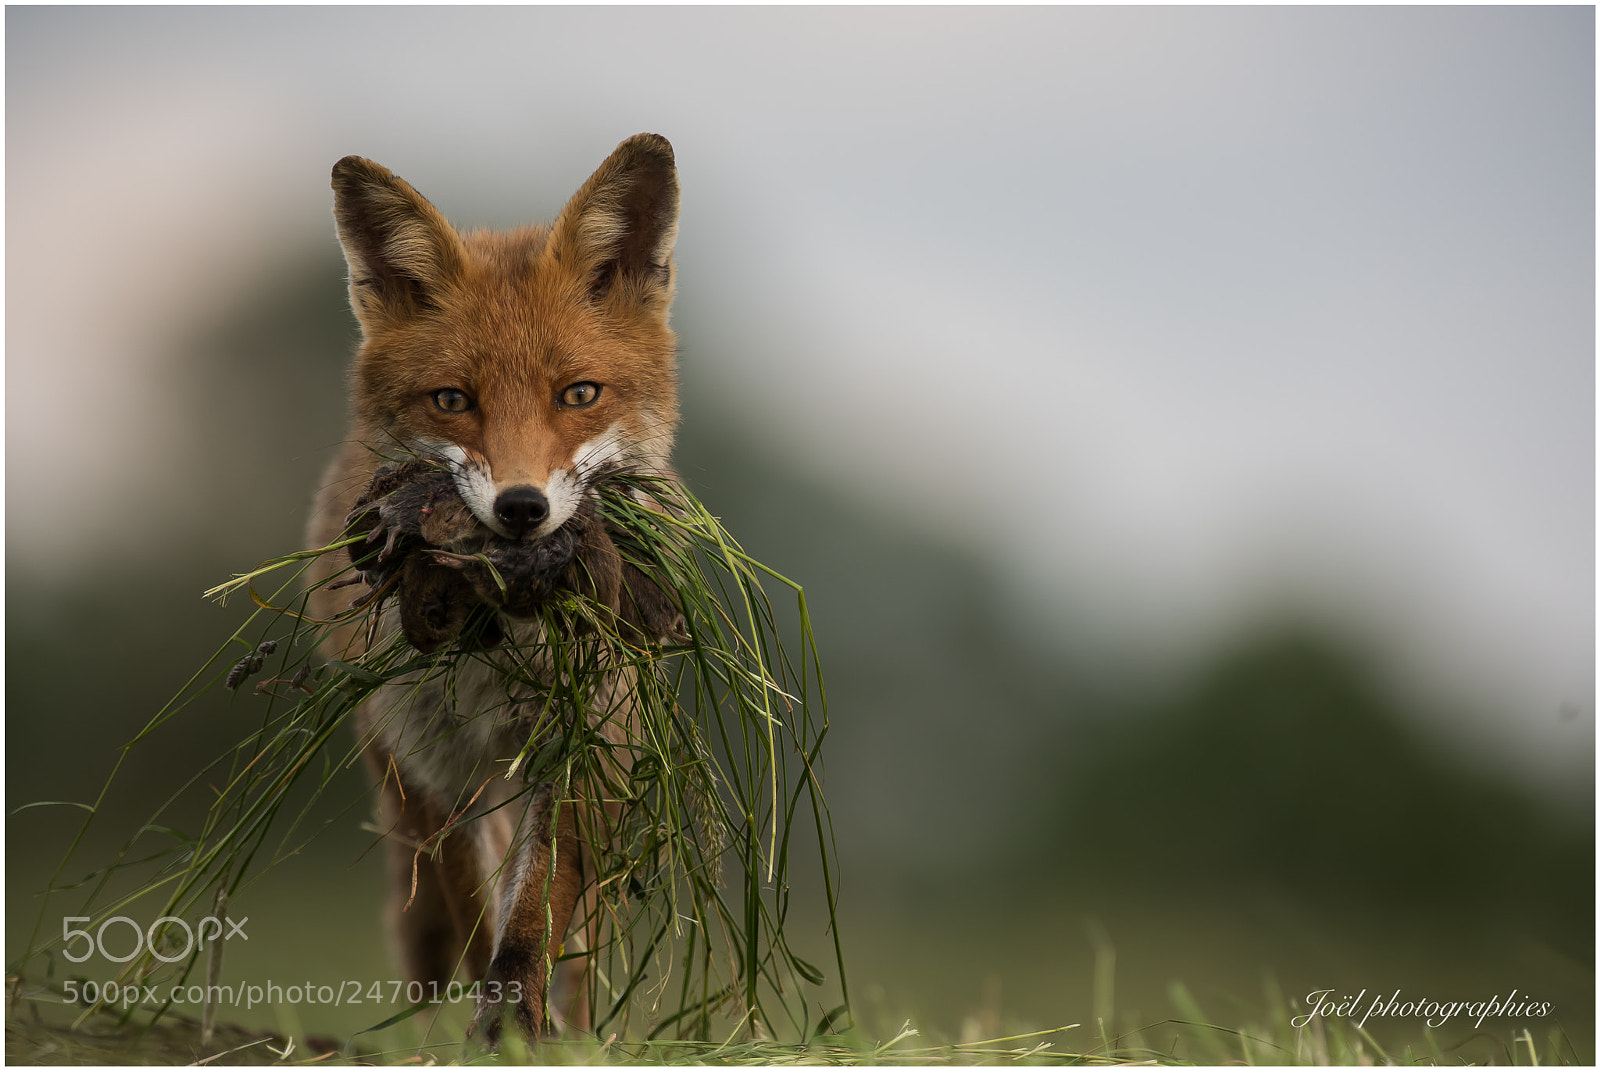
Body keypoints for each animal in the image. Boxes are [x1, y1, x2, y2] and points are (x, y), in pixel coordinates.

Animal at [305, 133, 683, 1042]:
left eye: (579, 394)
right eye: (453, 399)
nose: (521, 509)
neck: (502, 643)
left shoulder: (585, 738)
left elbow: (537, 906)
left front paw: (522, 1018)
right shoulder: (439, 766)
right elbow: (477, 906)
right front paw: (497, 1028)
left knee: (583, 934)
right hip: (397, 765)